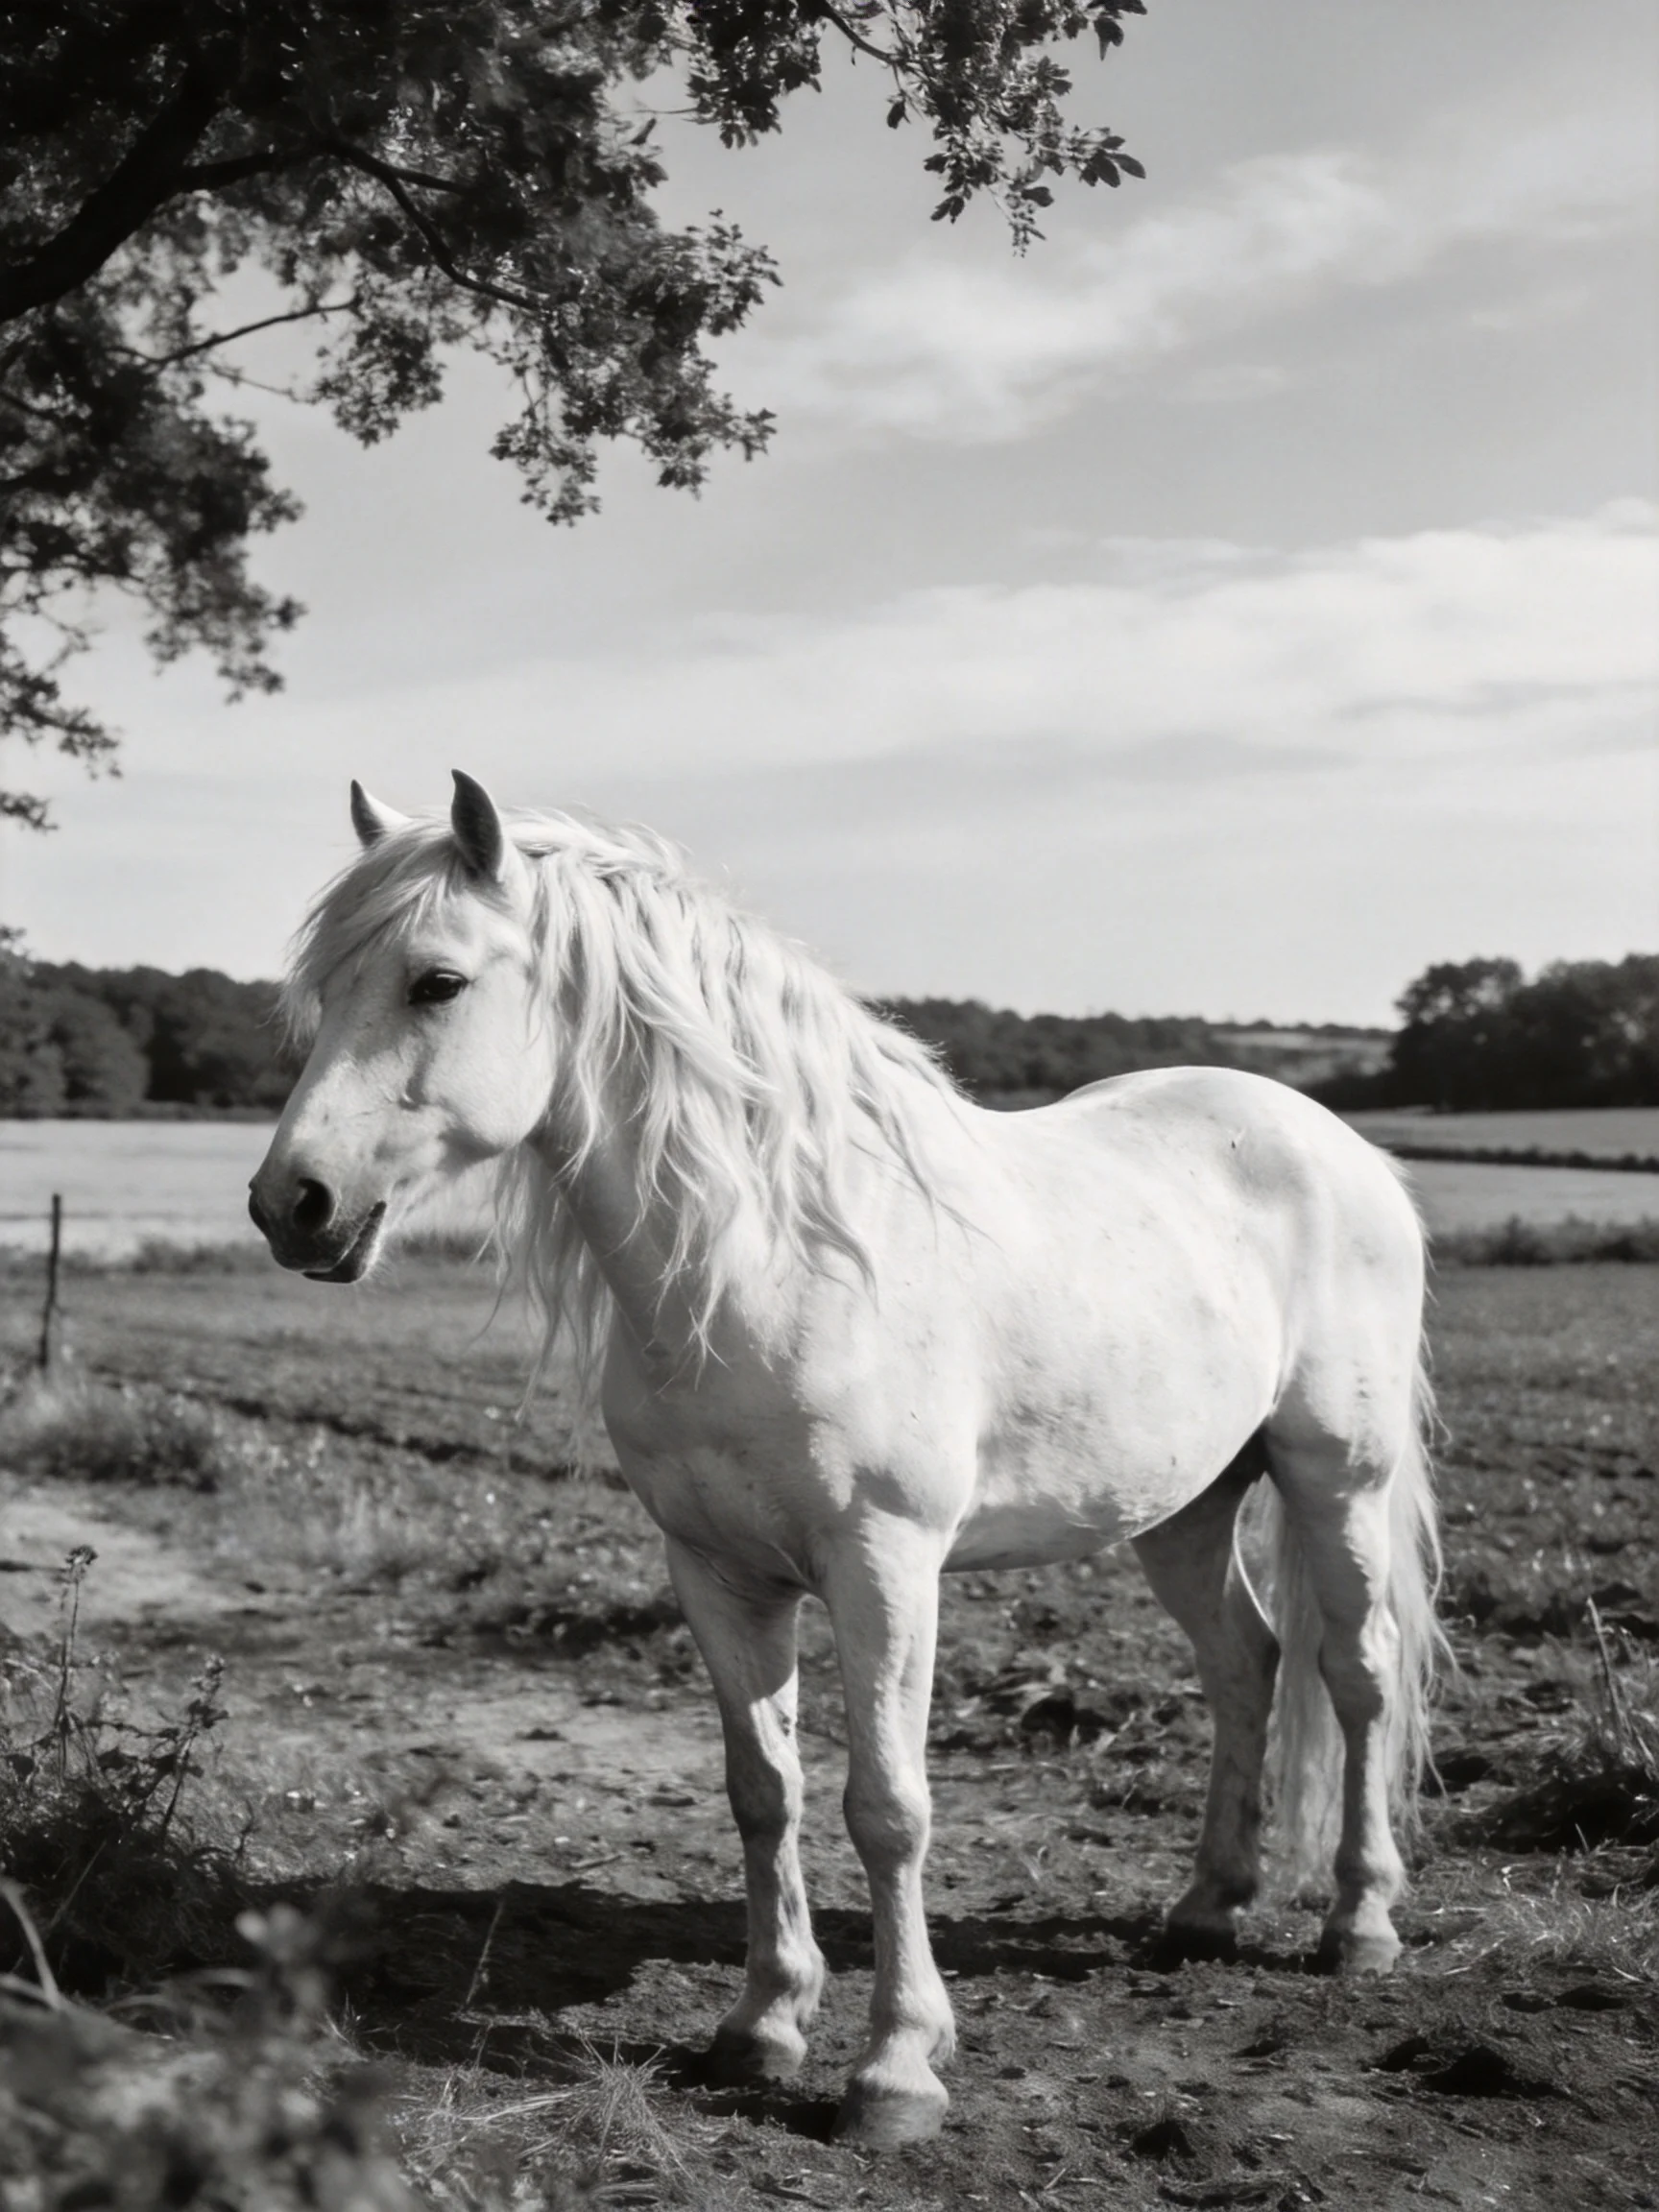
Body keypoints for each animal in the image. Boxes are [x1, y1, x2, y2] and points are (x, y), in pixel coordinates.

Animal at [249, 772, 1441, 2150]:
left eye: (436, 981)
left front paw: (897, 2070)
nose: (292, 1206)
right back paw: (1206, 1909)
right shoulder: (715, 1570)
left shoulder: (886, 1565)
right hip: (1185, 1508)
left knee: (1358, 1674)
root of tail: (1340, 1146)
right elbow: (763, 1791)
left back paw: (1360, 1925)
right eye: (323, 990)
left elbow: (889, 1805)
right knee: (1246, 1662)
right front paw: (762, 2028)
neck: (768, 1259)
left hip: (1335, 1476)